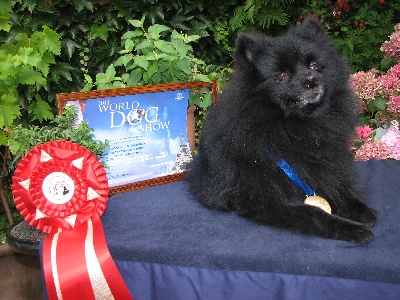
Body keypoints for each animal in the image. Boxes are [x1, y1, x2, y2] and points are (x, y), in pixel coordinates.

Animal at [186, 16, 376, 243]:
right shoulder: (265, 199)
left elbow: (340, 188)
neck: (297, 126)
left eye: (314, 66)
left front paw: (359, 209)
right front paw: (350, 228)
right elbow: (312, 213)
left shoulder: (321, 167)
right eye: (281, 75)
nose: (311, 79)